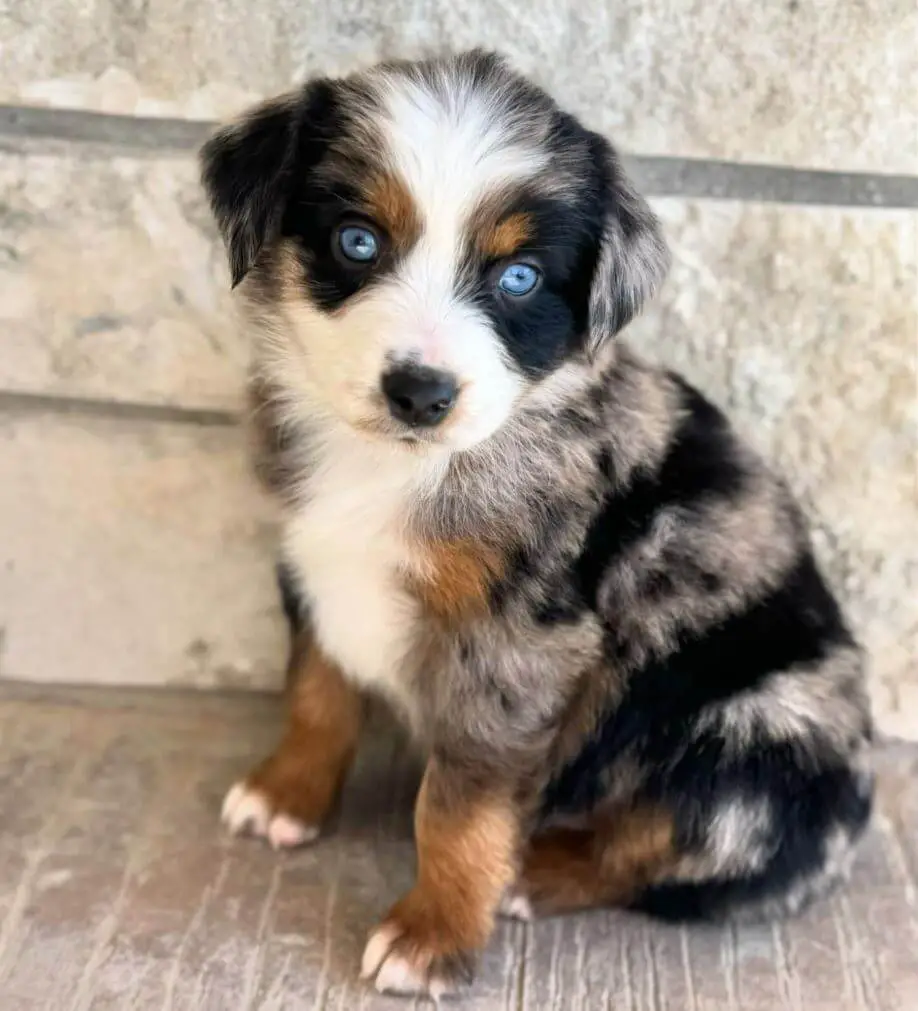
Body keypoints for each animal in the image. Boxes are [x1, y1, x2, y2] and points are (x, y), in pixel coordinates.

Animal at [201, 51, 873, 998]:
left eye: (518, 277)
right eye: (356, 241)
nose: (420, 392)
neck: (399, 463)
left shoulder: (517, 642)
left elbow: (458, 806)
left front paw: (433, 936)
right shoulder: (310, 558)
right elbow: (315, 689)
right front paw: (285, 796)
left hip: (756, 738)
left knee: (661, 846)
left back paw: (537, 868)